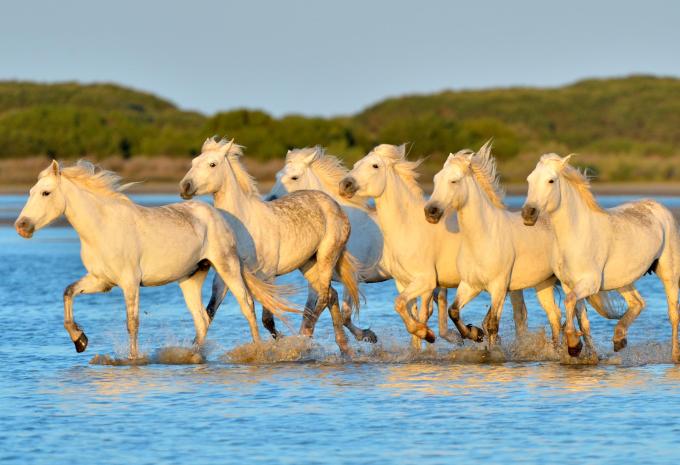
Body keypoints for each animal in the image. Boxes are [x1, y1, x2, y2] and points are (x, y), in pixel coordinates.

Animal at [14, 160, 296, 358]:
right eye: (31, 191)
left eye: (46, 193)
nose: (21, 226)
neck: (102, 228)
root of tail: (220, 216)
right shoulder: (100, 281)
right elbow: (68, 293)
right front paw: (80, 340)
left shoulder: (129, 282)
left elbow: (132, 323)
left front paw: (133, 359)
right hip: (191, 277)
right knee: (202, 319)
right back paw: (192, 356)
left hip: (226, 266)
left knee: (246, 305)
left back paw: (257, 352)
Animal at [181, 136, 362, 354]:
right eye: (193, 162)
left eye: (212, 164)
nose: (185, 187)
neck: (242, 224)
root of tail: (332, 203)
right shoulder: (225, 275)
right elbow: (210, 312)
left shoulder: (267, 274)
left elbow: (267, 319)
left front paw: (282, 347)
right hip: (308, 264)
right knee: (331, 295)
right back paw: (344, 348)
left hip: (327, 256)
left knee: (324, 297)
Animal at [340, 143, 532, 346]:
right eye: (356, 164)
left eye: (375, 166)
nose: (345, 185)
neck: (407, 227)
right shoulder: (403, 282)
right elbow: (408, 313)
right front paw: (424, 338)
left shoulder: (426, 281)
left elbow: (410, 310)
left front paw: (428, 335)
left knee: (518, 316)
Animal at [520, 154, 680, 360]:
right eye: (529, 180)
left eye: (551, 181)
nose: (528, 214)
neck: (575, 234)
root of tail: (659, 207)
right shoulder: (569, 284)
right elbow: (582, 319)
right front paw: (587, 354)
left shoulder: (589, 283)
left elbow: (569, 302)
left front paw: (573, 345)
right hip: (623, 280)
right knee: (637, 303)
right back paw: (619, 339)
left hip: (669, 274)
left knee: (673, 314)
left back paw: (674, 356)